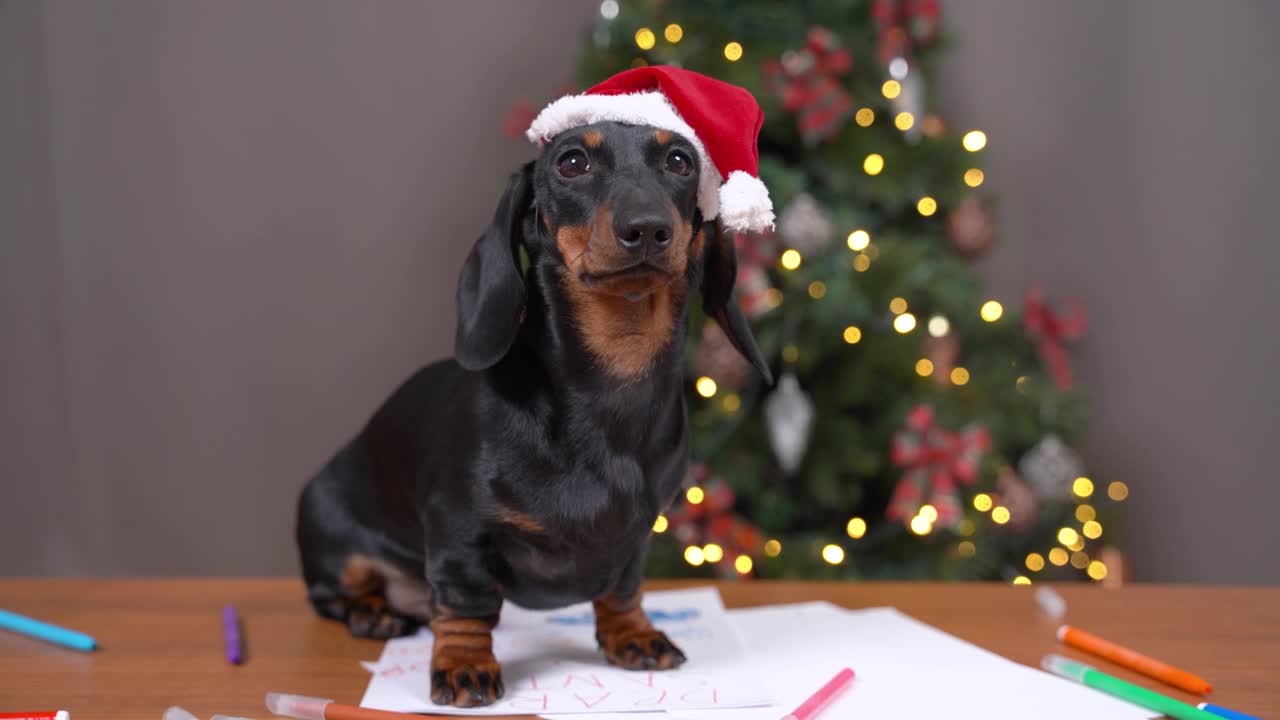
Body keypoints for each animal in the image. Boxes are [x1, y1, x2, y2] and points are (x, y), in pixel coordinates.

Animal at [296, 120, 768, 702]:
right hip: (327, 526)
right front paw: (464, 663)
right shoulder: (459, 532)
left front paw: (632, 635)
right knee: (334, 594)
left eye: (680, 161)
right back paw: (372, 613)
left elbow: (623, 590)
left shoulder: (635, 536)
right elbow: (467, 605)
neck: (616, 375)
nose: (647, 229)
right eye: (571, 163)